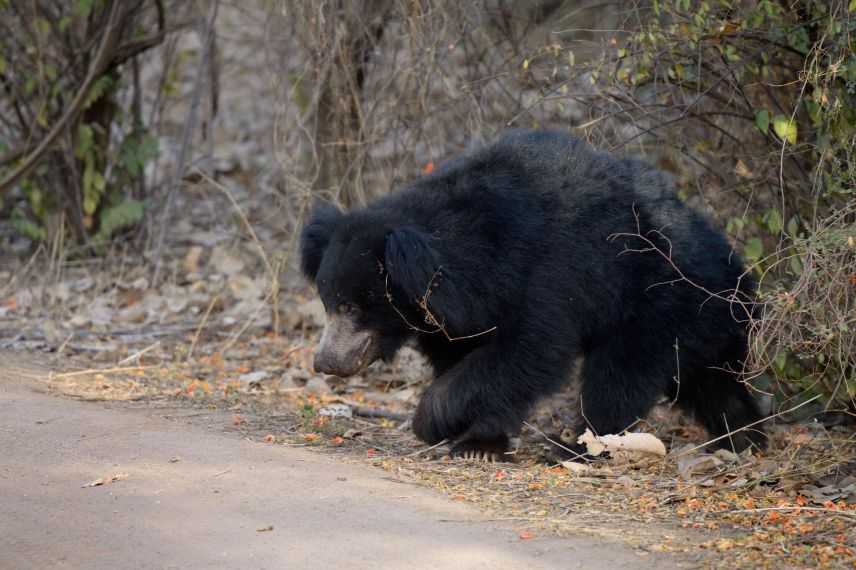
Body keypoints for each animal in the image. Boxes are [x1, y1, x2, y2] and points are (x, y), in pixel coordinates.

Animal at [300, 127, 764, 458]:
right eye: (327, 302)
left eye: (351, 305)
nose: (325, 363)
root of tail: (736, 273)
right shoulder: (454, 315)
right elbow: (466, 357)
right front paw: (478, 442)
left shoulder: (549, 275)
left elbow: (525, 352)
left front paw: (434, 421)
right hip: (695, 324)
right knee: (710, 383)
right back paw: (744, 437)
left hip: (655, 305)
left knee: (616, 379)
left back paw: (576, 448)